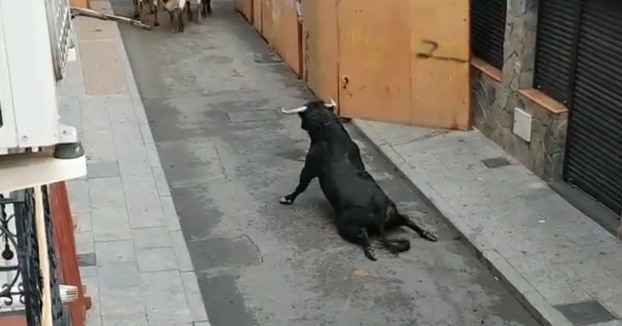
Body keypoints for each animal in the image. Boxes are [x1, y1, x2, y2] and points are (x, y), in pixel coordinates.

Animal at [280, 99, 442, 260]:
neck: (328, 129)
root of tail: (380, 209)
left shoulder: (309, 167)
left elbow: (301, 185)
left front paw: (287, 198)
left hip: (345, 224)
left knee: (362, 234)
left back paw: (370, 251)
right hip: (394, 216)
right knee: (406, 219)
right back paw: (428, 233)